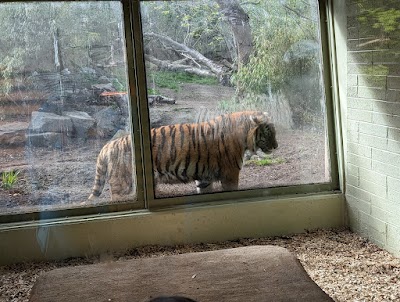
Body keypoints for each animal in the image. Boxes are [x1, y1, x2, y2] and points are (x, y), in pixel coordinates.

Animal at [89, 110, 278, 201]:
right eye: (269, 132)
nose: (276, 146)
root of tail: (109, 145)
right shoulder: (230, 175)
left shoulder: (204, 178)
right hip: (124, 185)